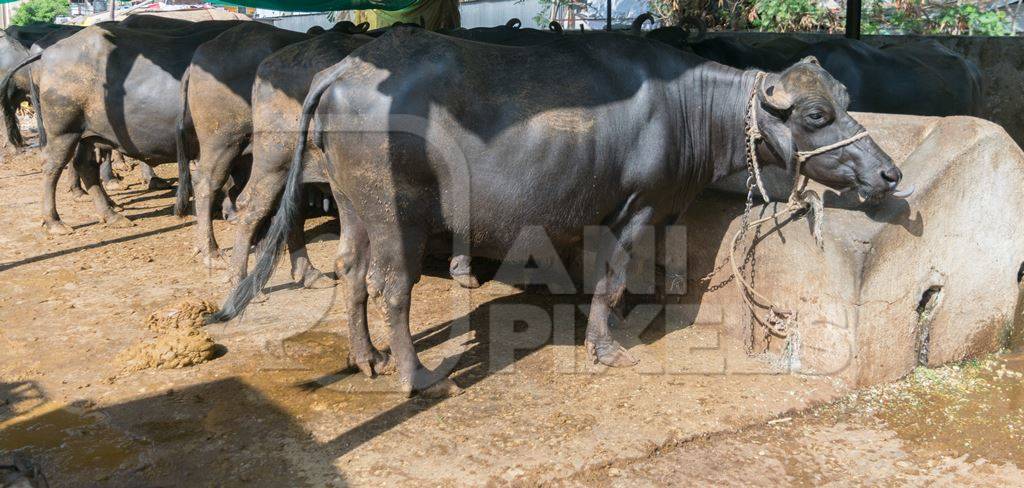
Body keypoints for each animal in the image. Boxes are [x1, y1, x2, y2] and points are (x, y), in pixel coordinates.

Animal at [214, 27, 905, 394]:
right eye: (815, 114)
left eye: (847, 100)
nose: (888, 172)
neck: (686, 109)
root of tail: (341, 70)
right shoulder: (635, 210)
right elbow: (613, 282)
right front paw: (607, 347)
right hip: (397, 213)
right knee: (391, 287)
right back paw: (416, 375)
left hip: (357, 207)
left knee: (353, 273)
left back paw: (365, 358)